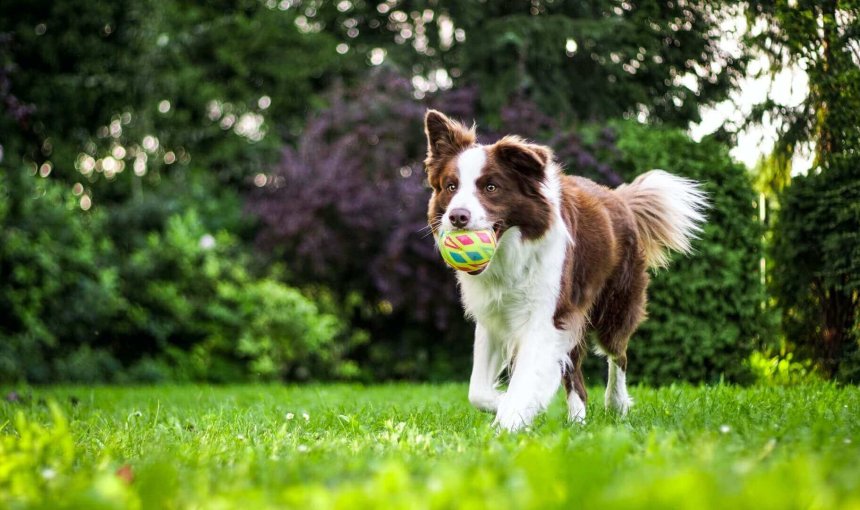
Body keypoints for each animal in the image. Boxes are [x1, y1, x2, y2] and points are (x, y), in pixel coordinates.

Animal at [420, 110, 708, 430]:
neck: (511, 253)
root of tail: (619, 198)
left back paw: (616, 404)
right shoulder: (494, 315)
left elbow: (526, 378)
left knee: (618, 354)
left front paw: (510, 421)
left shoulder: (546, 315)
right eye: (451, 187)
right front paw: (507, 405)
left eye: (491, 188)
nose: (457, 217)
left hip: (614, 306)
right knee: (576, 376)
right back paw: (577, 421)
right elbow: (477, 391)